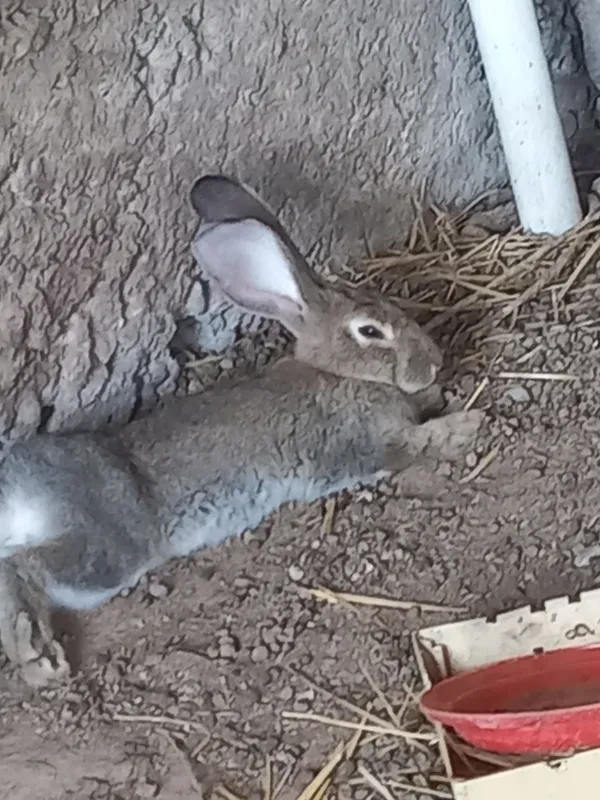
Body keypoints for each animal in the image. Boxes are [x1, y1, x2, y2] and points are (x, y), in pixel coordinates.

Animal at [0, 174, 484, 687]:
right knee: (21, 566)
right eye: (371, 331)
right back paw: (32, 653)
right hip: (108, 548)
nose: (434, 362)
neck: (340, 373)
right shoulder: (364, 445)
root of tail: (15, 484)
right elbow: (418, 444)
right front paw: (467, 425)